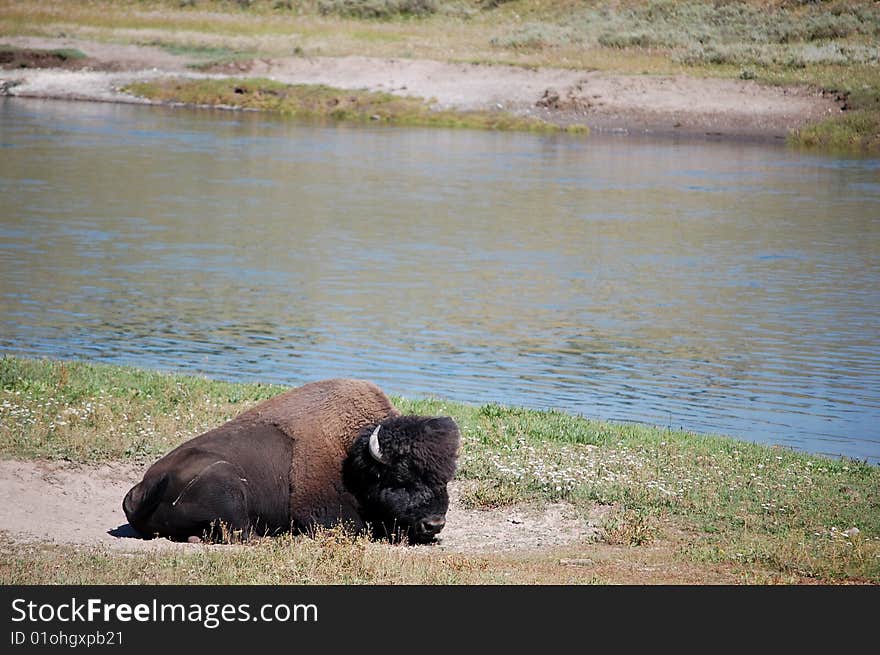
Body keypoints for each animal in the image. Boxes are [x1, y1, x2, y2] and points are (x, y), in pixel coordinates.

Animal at [122, 376, 460, 544]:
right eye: (401, 479)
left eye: (444, 479)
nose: (434, 524)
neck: (353, 457)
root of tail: (143, 489)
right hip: (227, 484)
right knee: (242, 534)